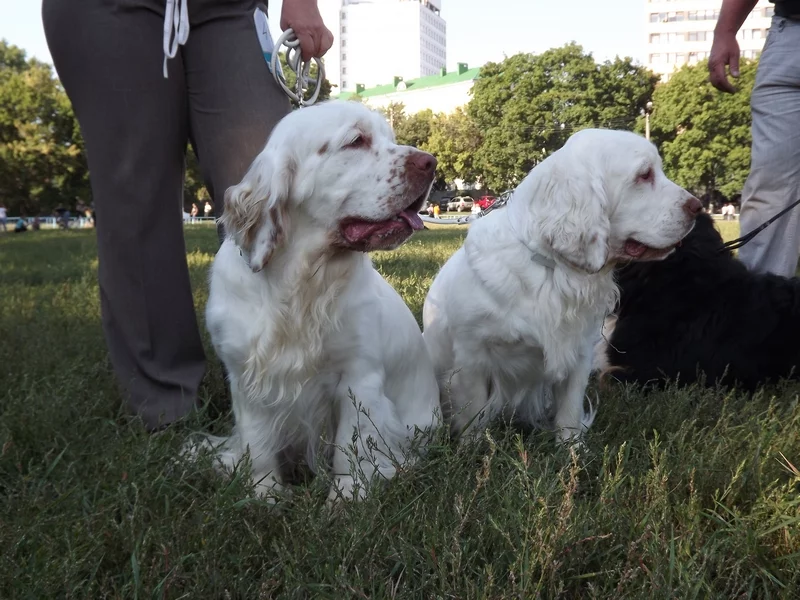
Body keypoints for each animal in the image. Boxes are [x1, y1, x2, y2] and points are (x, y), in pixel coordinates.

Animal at [198, 101, 441, 502]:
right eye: (356, 140)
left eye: (390, 138)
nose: (430, 161)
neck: (302, 278)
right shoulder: (247, 377)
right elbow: (258, 445)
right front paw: (264, 495)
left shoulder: (359, 377)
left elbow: (350, 448)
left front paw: (346, 499)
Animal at [422, 129, 702, 443]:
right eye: (644, 175)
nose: (698, 207)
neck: (553, 270)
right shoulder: (472, 356)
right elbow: (474, 412)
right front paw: (473, 446)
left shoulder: (578, 351)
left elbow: (569, 408)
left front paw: (572, 447)